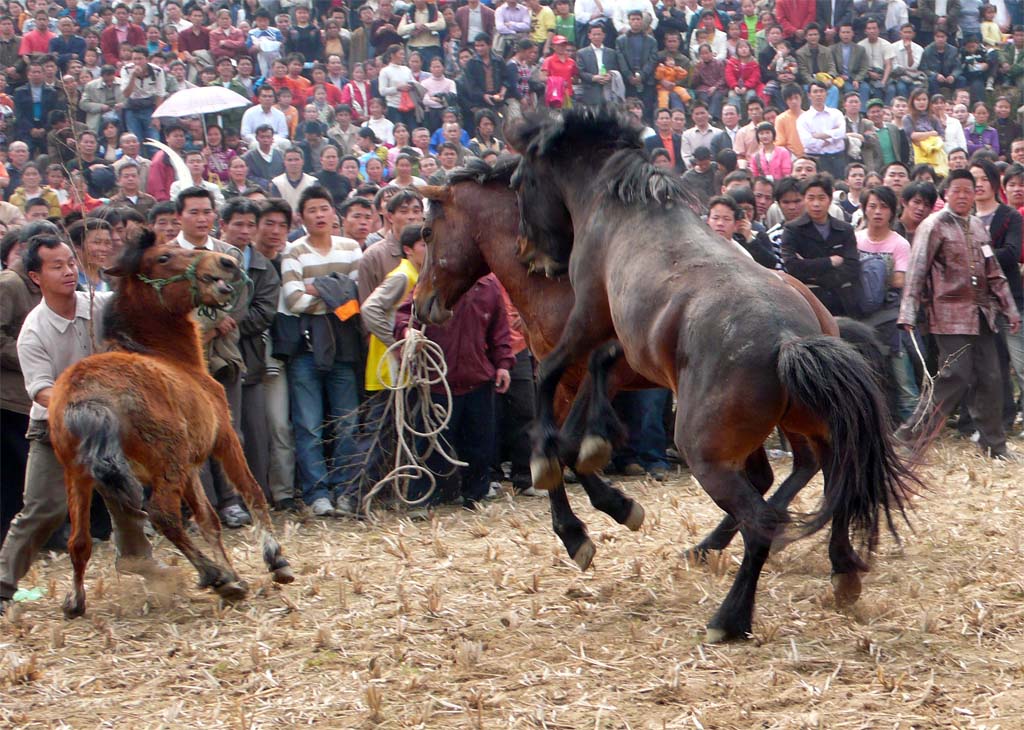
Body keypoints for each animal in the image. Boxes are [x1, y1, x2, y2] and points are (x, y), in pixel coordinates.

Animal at [49, 229, 294, 614]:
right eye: (164, 257)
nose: (226, 262)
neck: (173, 358)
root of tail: (86, 397)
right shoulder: (224, 437)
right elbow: (252, 491)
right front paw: (274, 561)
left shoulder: (191, 467)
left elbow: (208, 520)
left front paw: (233, 570)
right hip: (166, 460)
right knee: (162, 515)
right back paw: (215, 577)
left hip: (80, 474)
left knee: (79, 540)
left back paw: (75, 601)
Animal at [505, 105, 921, 638]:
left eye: (518, 181)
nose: (530, 256)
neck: (621, 208)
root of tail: (789, 342)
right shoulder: (628, 348)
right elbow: (592, 382)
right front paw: (598, 458)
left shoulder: (589, 318)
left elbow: (550, 380)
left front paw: (568, 508)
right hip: (809, 430)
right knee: (829, 482)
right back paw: (841, 571)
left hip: (706, 452)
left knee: (762, 517)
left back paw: (730, 616)